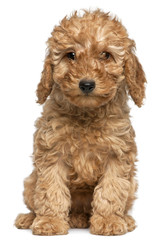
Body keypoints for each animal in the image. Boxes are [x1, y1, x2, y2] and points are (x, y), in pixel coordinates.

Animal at [14, 10, 147, 235]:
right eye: (71, 55)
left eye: (105, 55)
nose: (86, 84)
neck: (86, 114)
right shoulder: (52, 153)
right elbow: (50, 190)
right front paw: (50, 221)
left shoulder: (117, 154)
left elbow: (111, 190)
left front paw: (109, 220)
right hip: (30, 182)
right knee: (35, 202)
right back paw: (30, 218)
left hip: (131, 185)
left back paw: (123, 219)